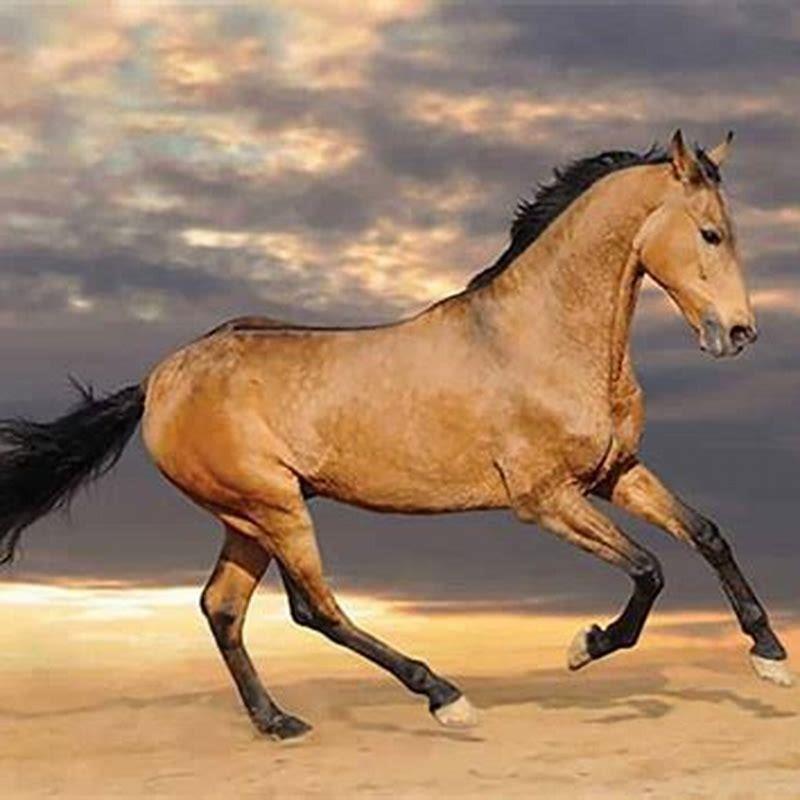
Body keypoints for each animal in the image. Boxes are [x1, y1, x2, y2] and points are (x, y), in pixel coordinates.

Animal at [0, 130, 791, 741]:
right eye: (711, 233)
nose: (739, 334)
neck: (537, 336)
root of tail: (161, 378)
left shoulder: (615, 473)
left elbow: (708, 535)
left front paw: (771, 655)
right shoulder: (545, 500)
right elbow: (649, 571)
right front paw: (584, 646)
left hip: (245, 518)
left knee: (223, 608)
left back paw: (277, 723)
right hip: (273, 507)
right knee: (315, 609)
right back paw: (445, 697)